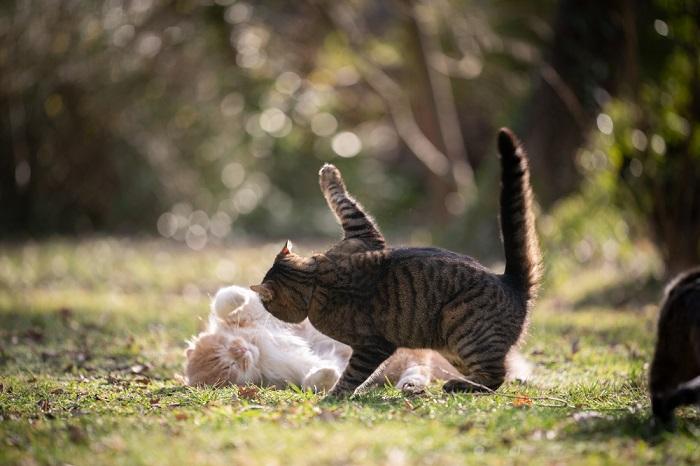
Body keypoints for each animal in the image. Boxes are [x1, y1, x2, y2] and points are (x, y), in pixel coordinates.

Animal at [183, 286, 464, 392]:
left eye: (229, 349)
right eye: (231, 366)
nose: (242, 352)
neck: (259, 348)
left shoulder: (254, 315)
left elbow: (224, 301)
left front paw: (237, 297)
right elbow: (316, 378)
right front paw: (328, 374)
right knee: (420, 369)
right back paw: (411, 384)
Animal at [252, 128, 540, 396]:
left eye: (266, 305)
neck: (318, 278)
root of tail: (511, 281)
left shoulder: (372, 345)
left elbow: (353, 375)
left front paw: (333, 395)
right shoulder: (364, 237)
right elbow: (344, 202)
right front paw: (329, 174)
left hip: (463, 327)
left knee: (496, 376)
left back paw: (458, 385)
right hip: (452, 346)